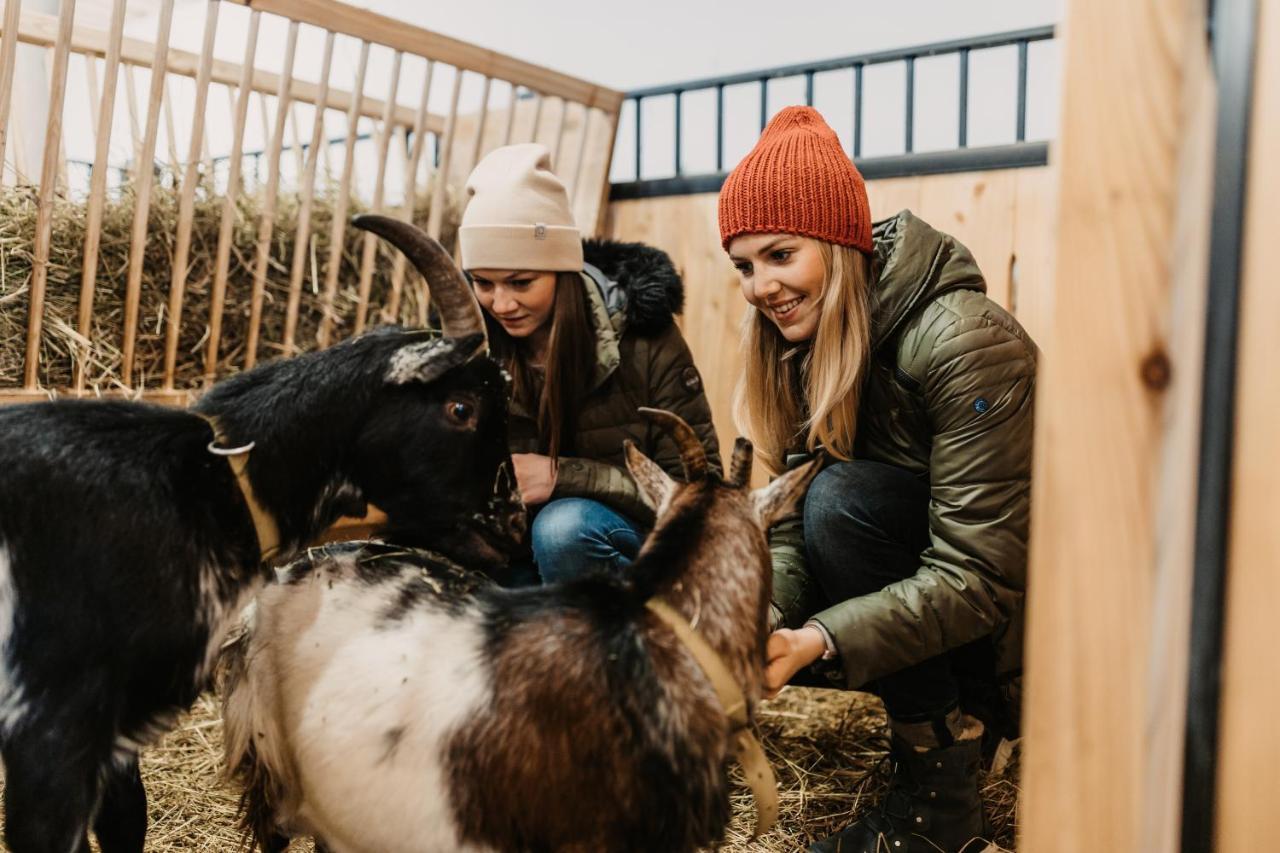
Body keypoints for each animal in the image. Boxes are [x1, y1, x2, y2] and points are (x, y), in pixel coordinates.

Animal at [0, 217, 524, 850]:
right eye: (461, 408)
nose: (515, 523)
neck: (211, 482)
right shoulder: (51, 733)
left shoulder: (119, 731)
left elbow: (128, 819)